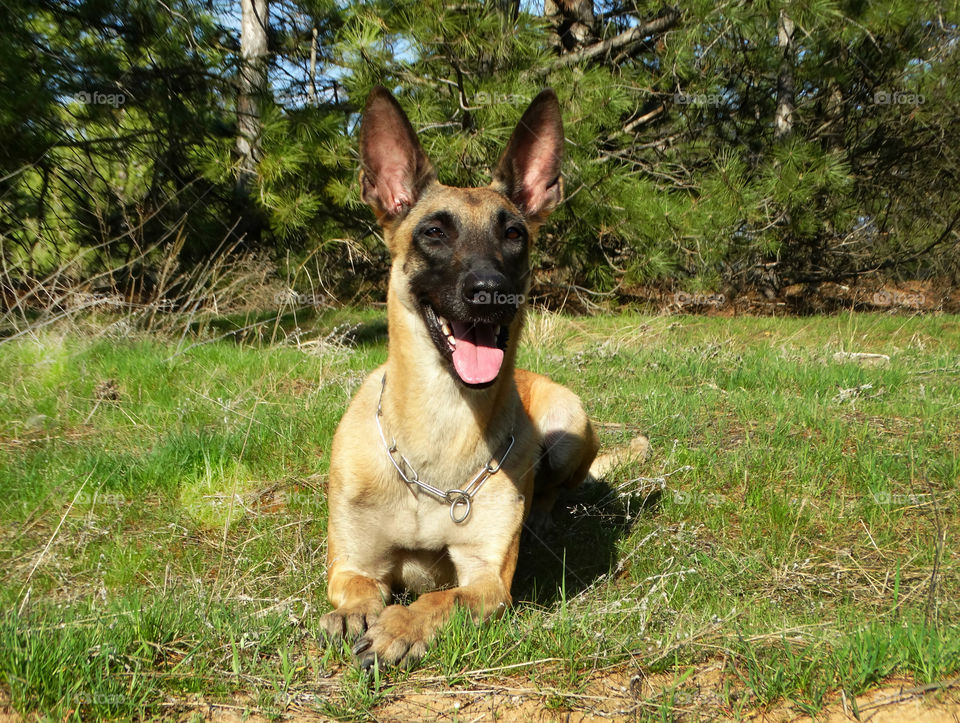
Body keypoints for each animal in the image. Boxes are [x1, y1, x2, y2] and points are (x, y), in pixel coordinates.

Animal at [318, 87, 632, 672]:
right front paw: (354, 616)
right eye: (434, 232)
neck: (438, 434)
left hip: (568, 426)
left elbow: (442, 598)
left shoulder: (487, 579)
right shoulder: (353, 563)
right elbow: (356, 591)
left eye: (513, 234)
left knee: (552, 491)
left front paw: (401, 626)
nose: (490, 292)